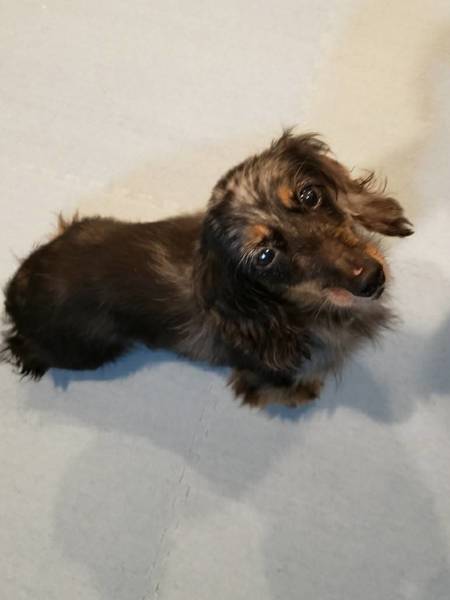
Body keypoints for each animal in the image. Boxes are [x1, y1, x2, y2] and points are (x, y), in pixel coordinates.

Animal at [1, 132, 413, 407]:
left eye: (310, 195)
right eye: (265, 257)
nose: (371, 278)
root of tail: (16, 288)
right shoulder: (260, 376)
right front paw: (303, 393)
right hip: (88, 351)